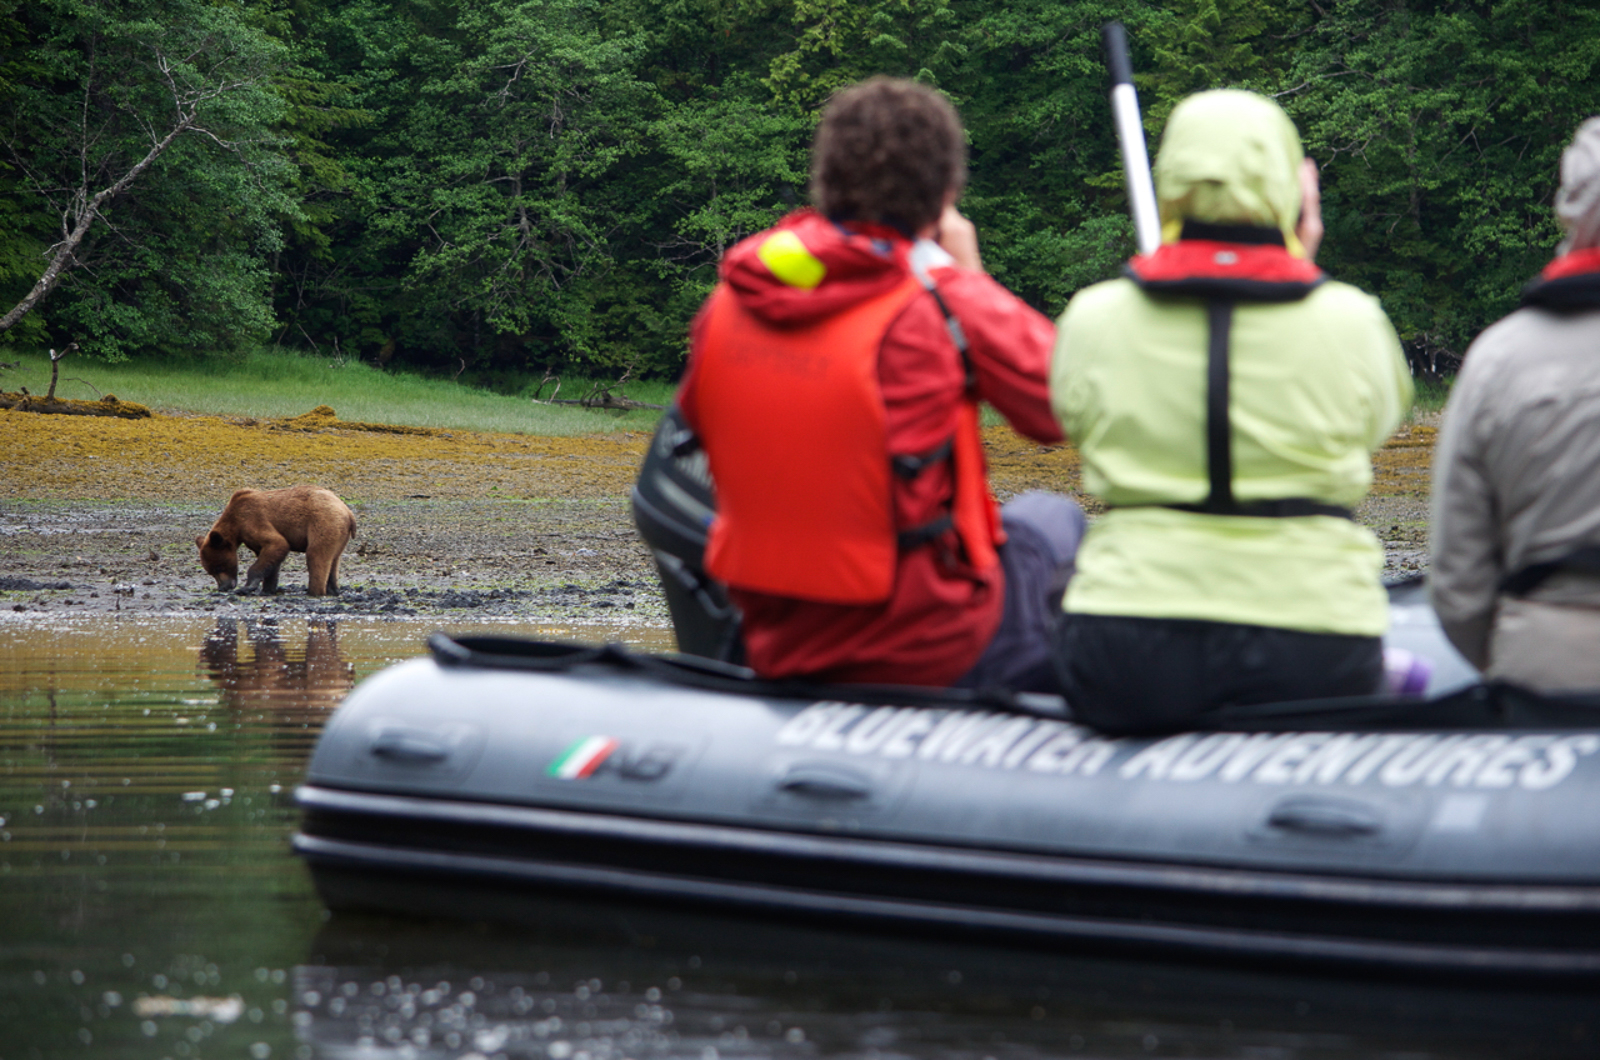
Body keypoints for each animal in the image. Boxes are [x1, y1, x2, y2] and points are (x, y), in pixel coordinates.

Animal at [196, 485, 356, 596]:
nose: (223, 587)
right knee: (334, 560)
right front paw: (268, 588)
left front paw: (247, 587)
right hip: (339, 533)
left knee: (316, 556)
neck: (235, 525)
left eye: (218, 567)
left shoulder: (252, 520)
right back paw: (333, 589)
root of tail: (348, 511)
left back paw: (314, 591)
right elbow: (271, 559)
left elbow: (277, 543)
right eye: (210, 571)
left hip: (323, 523)